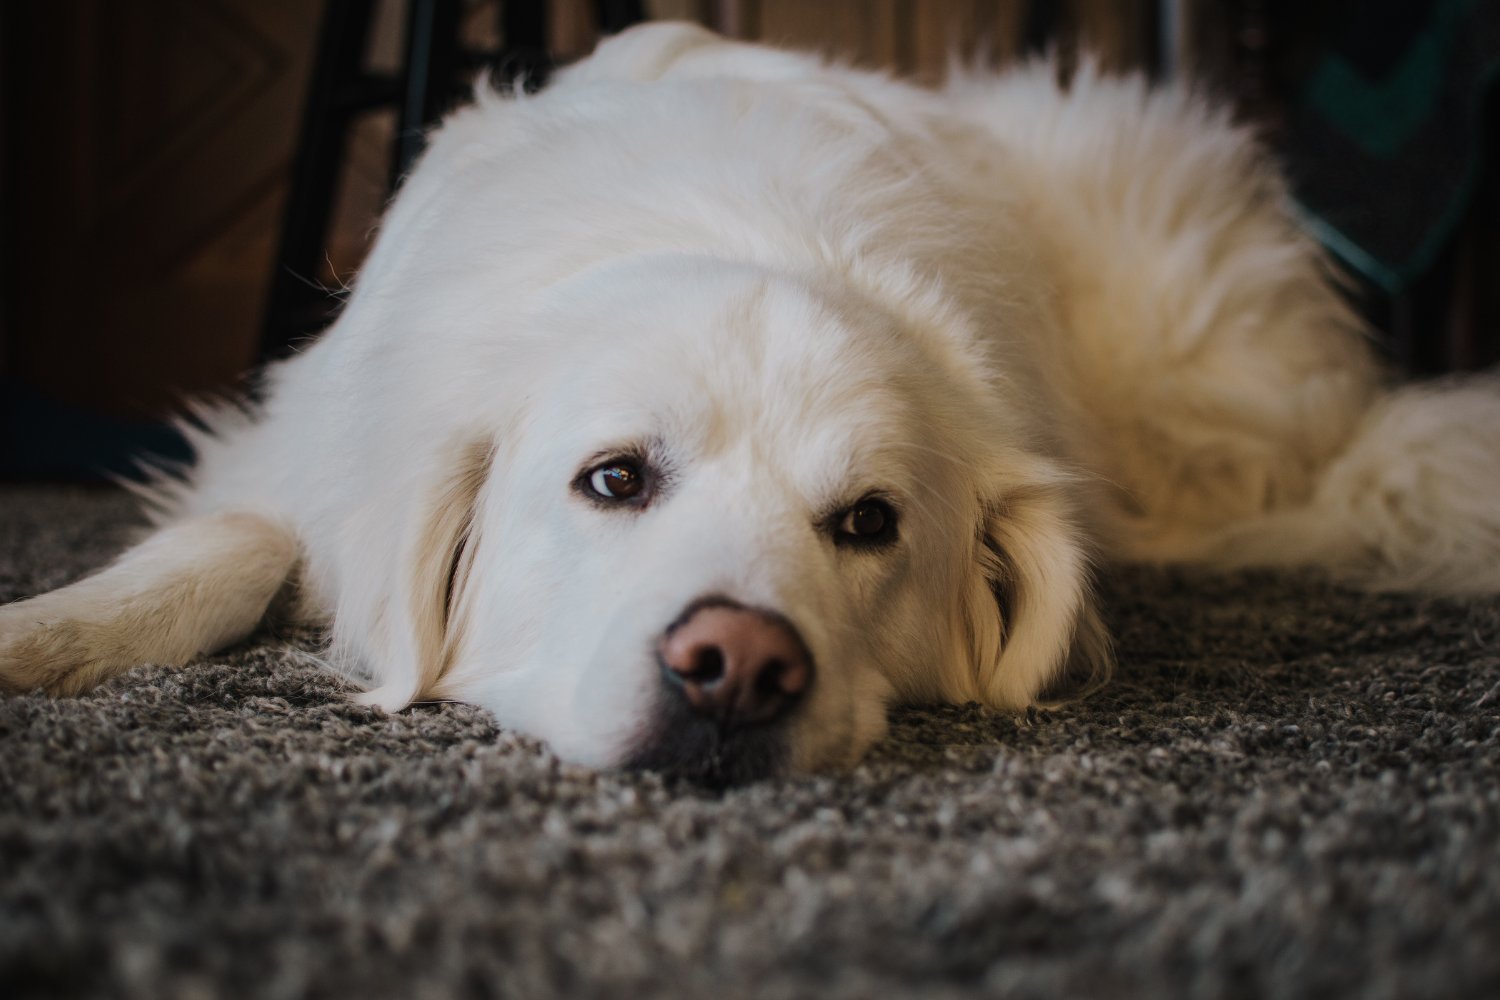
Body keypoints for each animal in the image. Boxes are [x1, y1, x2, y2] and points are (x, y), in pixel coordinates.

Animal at [2, 23, 1500, 785]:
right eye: (613, 478)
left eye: (870, 522)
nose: (739, 664)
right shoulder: (299, 441)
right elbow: (226, 547)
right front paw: (52, 633)